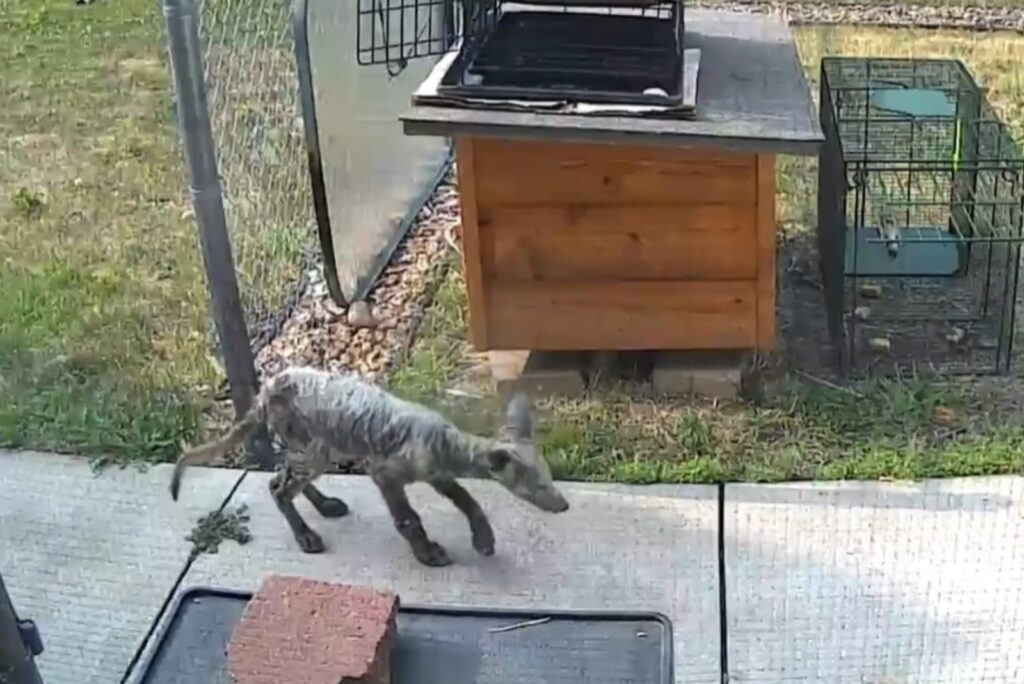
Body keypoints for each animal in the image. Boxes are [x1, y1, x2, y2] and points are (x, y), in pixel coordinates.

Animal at [170, 366, 569, 567]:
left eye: (551, 479)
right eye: (538, 485)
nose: (564, 505)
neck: (443, 442)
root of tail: (266, 388)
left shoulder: (438, 474)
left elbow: (470, 501)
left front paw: (483, 540)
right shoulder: (385, 473)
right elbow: (409, 519)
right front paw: (427, 553)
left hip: (314, 446)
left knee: (281, 477)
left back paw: (325, 505)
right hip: (311, 446)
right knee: (278, 488)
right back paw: (306, 536)